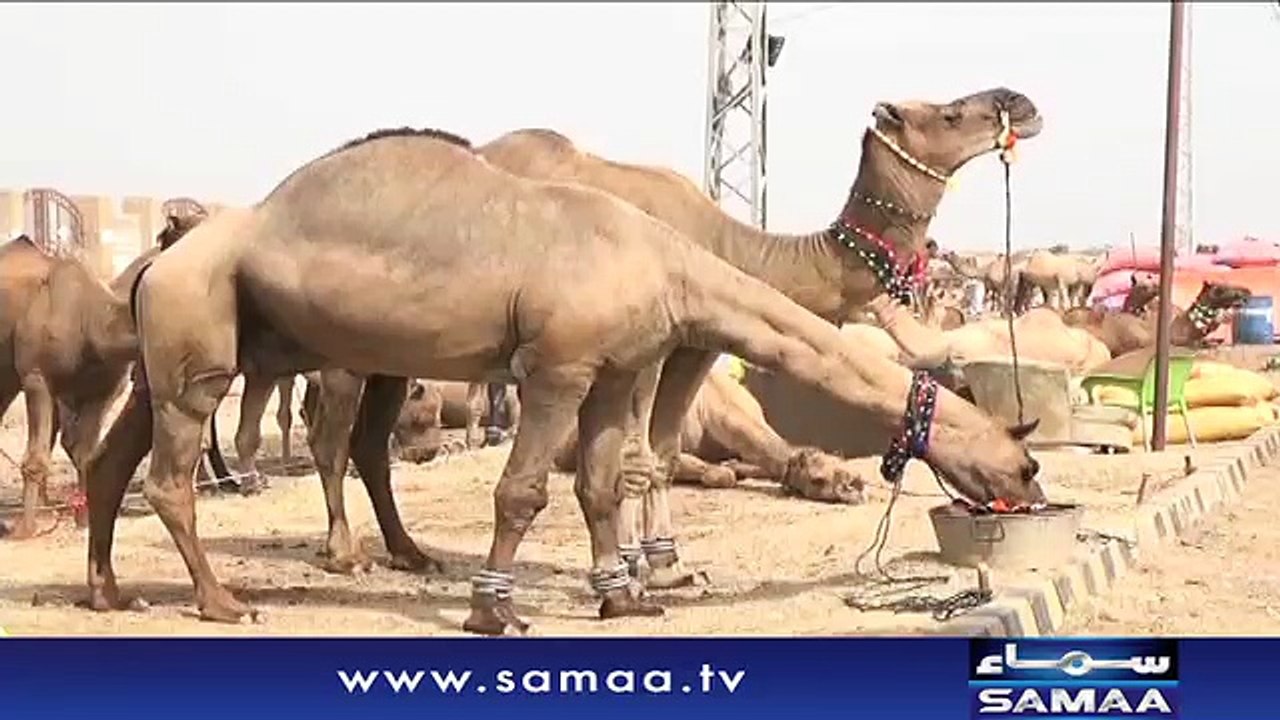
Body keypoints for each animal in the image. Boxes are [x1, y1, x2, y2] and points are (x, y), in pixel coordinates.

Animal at [83, 125, 1045, 635]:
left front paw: (625, 598)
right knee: (179, 474)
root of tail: (152, 260)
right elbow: (522, 492)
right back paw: (226, 600)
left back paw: (108, 590)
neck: (673, 262)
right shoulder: (558, 366)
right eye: (1021, 455)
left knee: (115, 459)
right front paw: (494, 612)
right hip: (204, 336)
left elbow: (599, 486)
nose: (1030, 492)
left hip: (172, 349)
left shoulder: (615, 371)